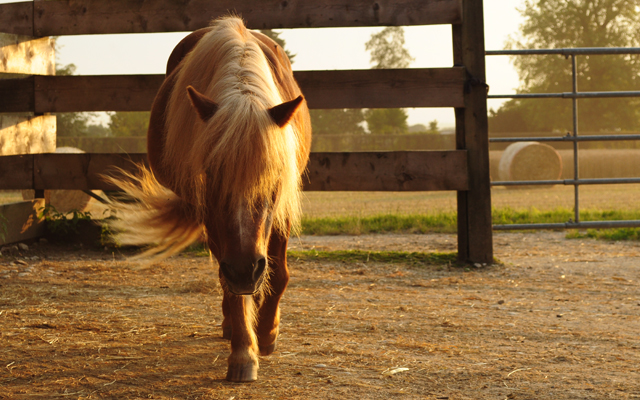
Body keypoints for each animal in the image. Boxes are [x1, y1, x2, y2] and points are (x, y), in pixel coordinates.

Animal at [105, 17, 312, 382]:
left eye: (273, 177)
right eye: (211, 174)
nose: (245, 270)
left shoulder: (282, 207)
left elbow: (279, 275)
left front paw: (267, 333)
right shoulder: (214, 220)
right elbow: (231, 287)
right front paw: (244, 352)